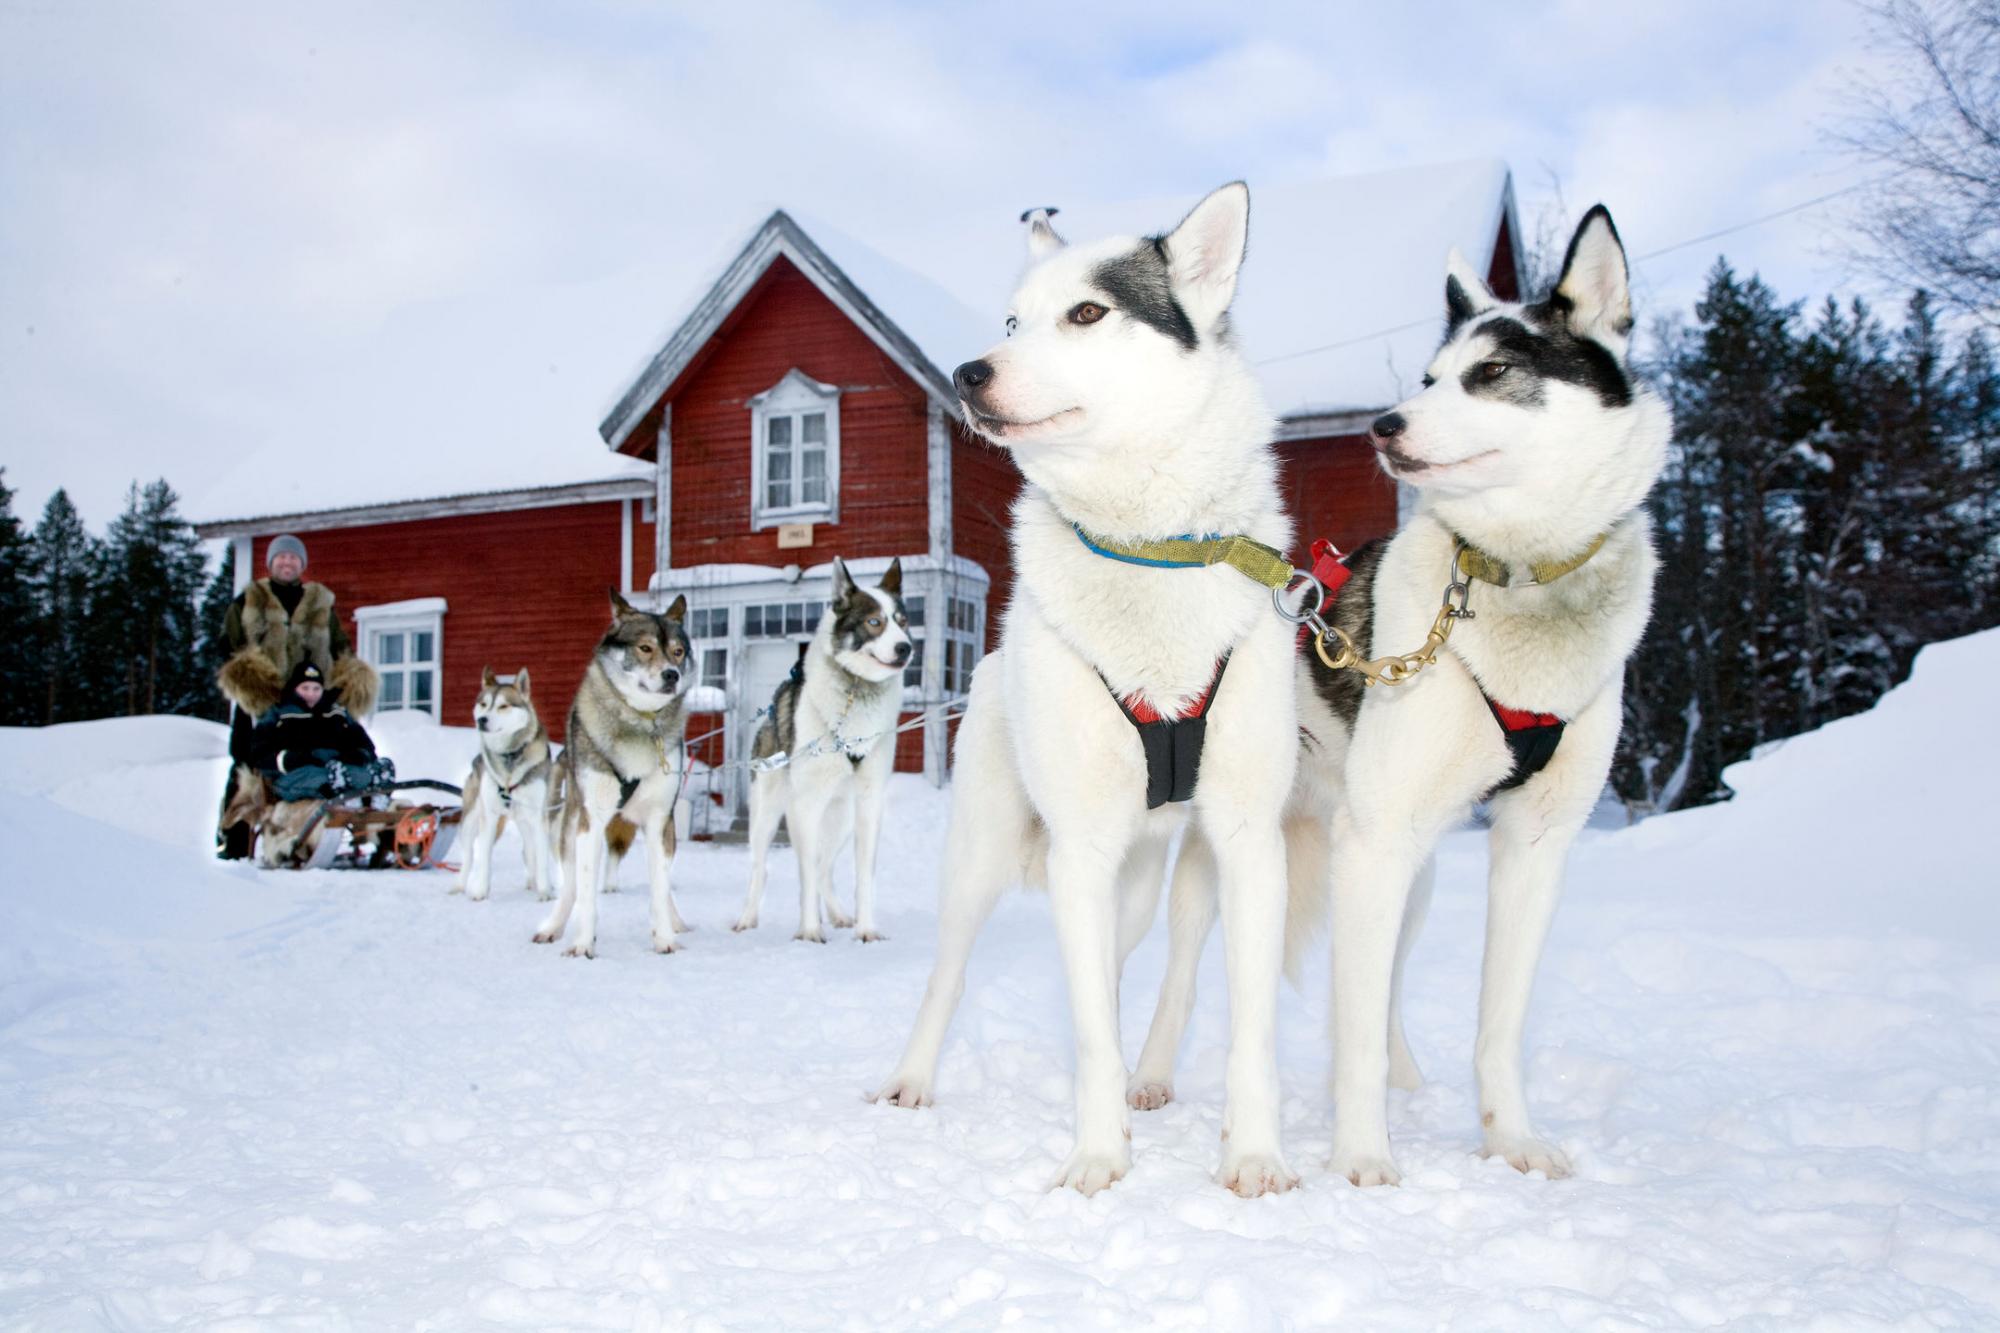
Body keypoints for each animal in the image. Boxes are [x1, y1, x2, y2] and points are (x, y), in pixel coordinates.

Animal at [448, 668, 556, 896]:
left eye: (503, 706)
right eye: (483, 704)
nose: (482, 720)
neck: (509, 757)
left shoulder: (537, 817)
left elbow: (541, 859)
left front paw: (544, 892)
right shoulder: (489, 816)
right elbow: (483, 858)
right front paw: (480, 892)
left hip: (525, 821)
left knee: (530, 851)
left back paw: (533, 883)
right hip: (470, 820)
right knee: (470, 856)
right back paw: (460, 885)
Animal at [532, 592, 696, 956]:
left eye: (678, 651)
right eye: (645, 648)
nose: (672, 675)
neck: (640, 722)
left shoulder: (659, 820)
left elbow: (659, 887)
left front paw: (665, 938)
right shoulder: (590, 820)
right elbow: (585, 891)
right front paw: (582, 945)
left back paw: (676, 921)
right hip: (569, 828)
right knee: (571, 885)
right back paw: (553, 926)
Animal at [736, 556, 916, 940]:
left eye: (903, 621)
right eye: (874, 621)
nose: (905, 648)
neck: (855, 692)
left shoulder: (869, 803)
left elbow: (862, 876)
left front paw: (866, 929)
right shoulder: (805, 804)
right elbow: (803, 876)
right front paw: (809, 932)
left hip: (842, 819)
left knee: (823, 868)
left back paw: (838, 915)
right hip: (767, 814)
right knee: (763, 867)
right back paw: (747, 918)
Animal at [868, 182, 1304, 1184]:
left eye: (1088, 314)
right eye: (1011, 320)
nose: (967, 372)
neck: (1147, 550)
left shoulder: (1248, 840)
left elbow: (1252, 1031)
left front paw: (1254, 1153)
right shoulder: (1080, 847)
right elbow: (1089, 1029)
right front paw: (1098, 1157)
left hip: (1146, 880)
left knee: (1130, 970)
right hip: (988, 856)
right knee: (953, 972)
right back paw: (912, 1077)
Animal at [1136, 208, 1664, 1184]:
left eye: (1491, 372)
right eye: (1428, 377)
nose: (1384, 425)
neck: (1512, 579)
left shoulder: (1532, 843)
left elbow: (1496, 1024)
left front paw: (1509, 1137)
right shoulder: (1374, 843)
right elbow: (1347, 1032)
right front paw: (1362, 1156)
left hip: (1407, 871)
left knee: (1376, 991)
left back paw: (1405, 1075)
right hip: (1234, 860)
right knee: (1189, 973)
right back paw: (1153, 1075)